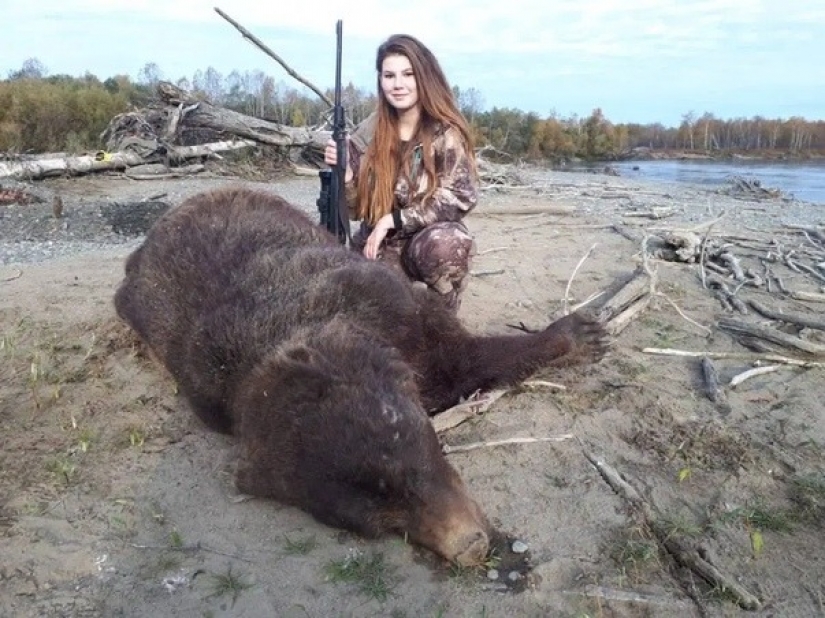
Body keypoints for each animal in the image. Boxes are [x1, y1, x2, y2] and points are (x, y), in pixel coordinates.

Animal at [114, 187, 608, 566]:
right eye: (379, 521)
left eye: (413, 457)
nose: (469, 546)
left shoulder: (396, 309)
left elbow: (467, 358)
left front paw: (578, 334)